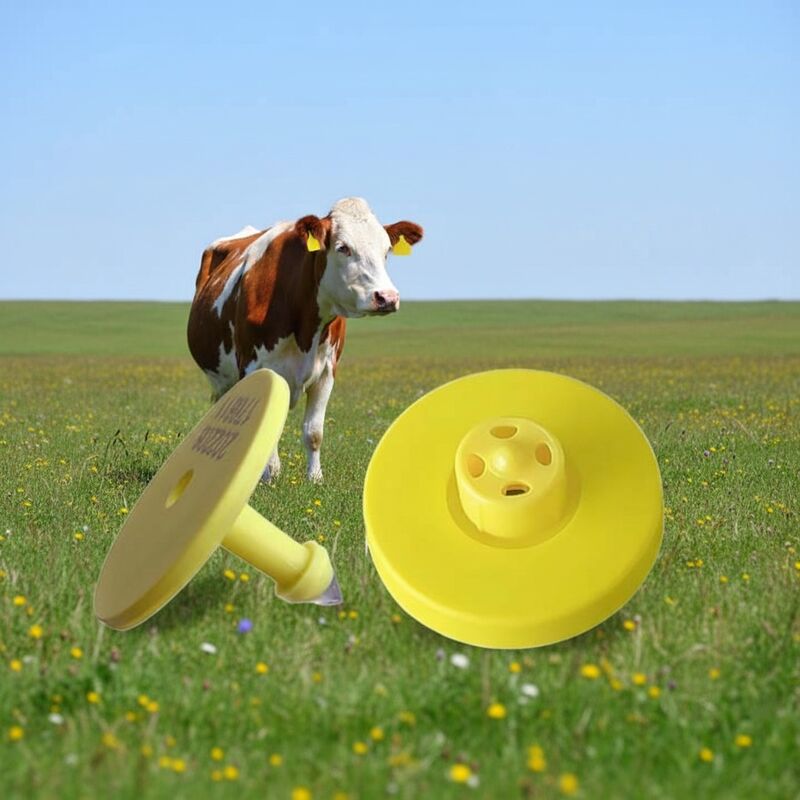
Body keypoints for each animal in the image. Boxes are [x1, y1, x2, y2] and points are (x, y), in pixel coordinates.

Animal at [187, 197, 424, 482]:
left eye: (387, 250)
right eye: (343, 248)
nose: (387, 297)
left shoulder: (327, 372)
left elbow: (314, 431)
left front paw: (315, 477)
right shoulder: (255, 368)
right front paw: (269, 476)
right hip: (222, 381)